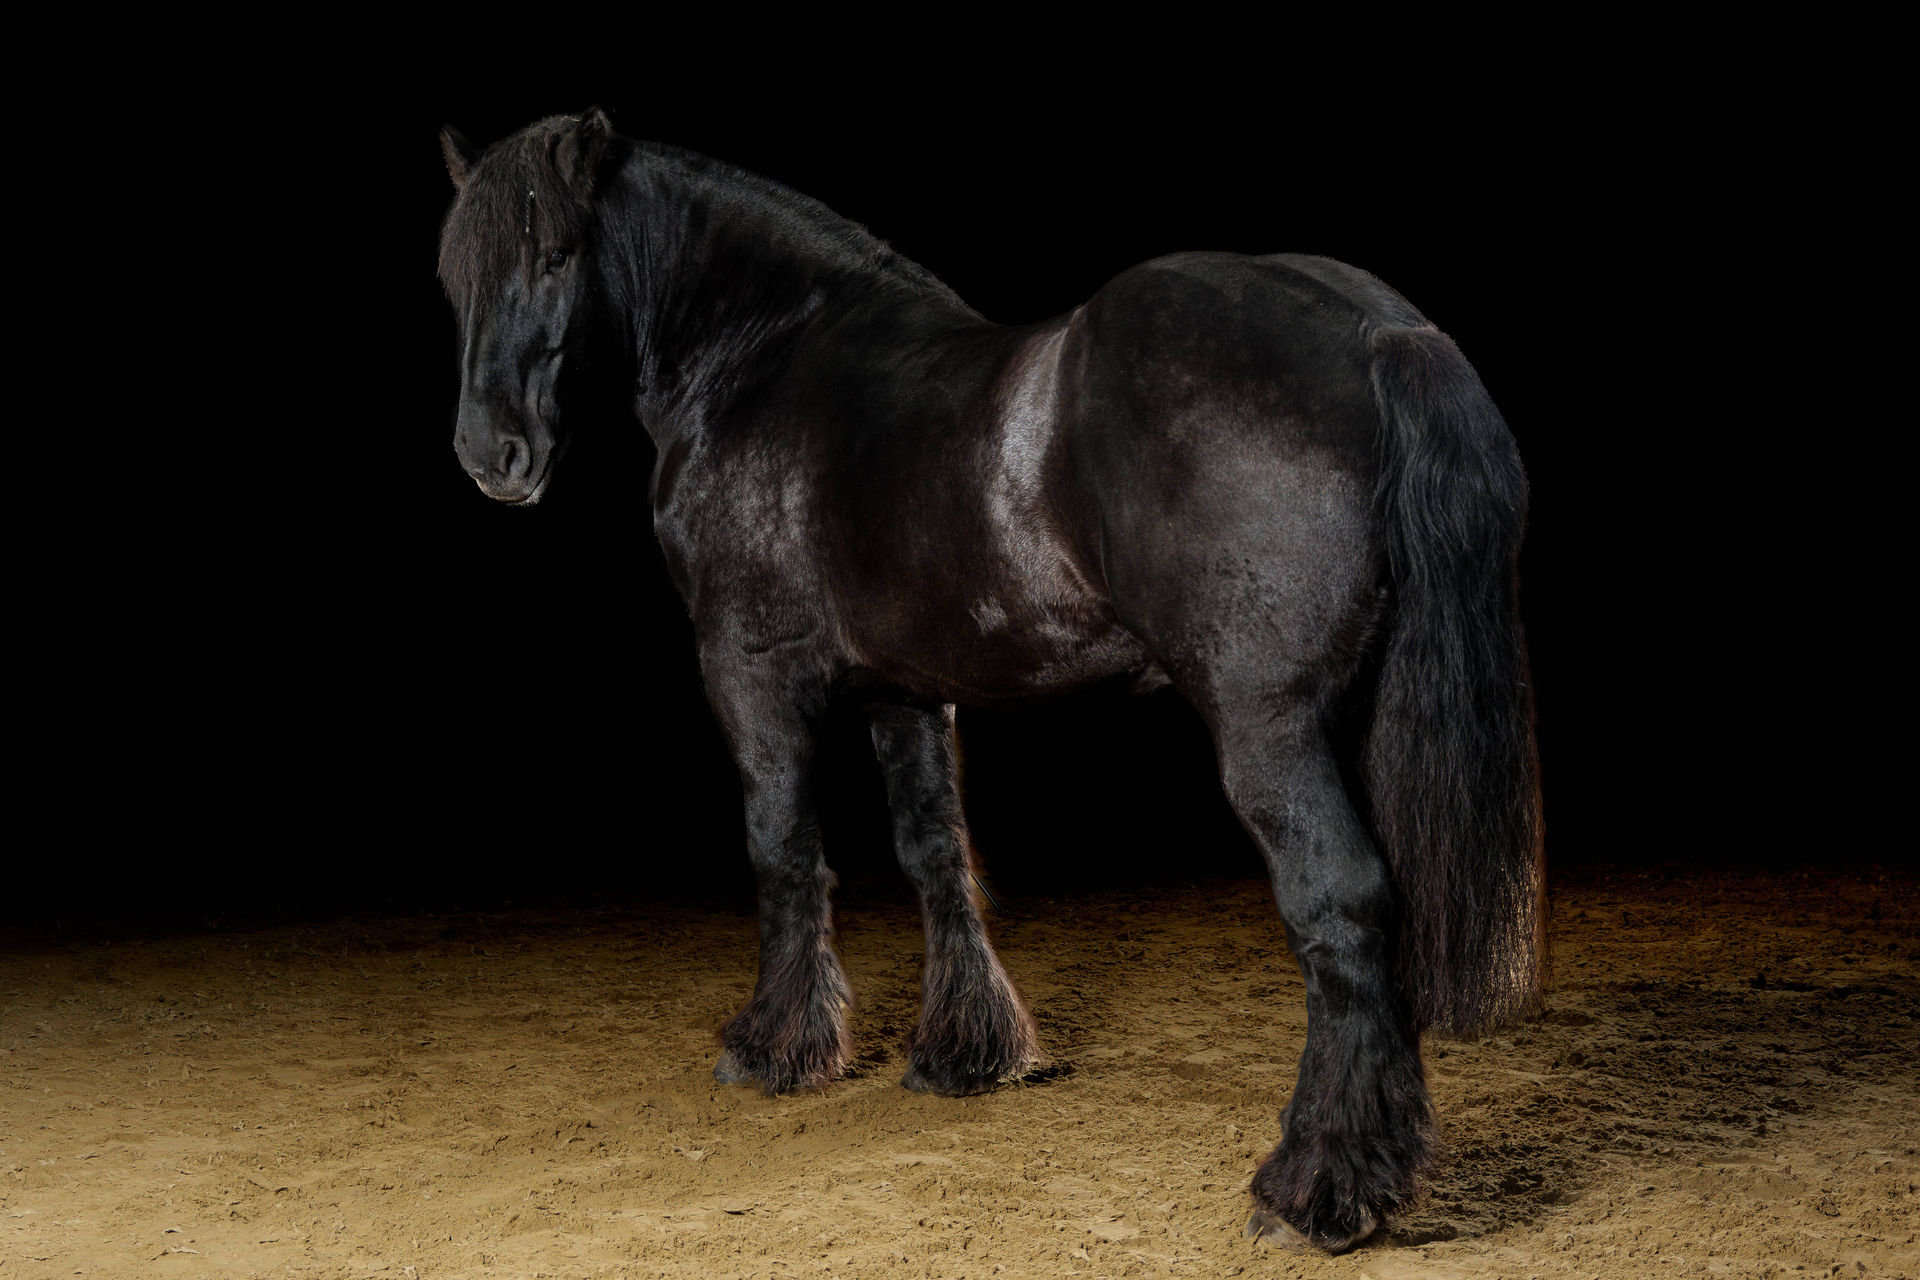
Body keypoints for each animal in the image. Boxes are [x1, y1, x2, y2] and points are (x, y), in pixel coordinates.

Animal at [435, 108, 1543, 1254]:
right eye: (452, 273)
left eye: (556, 253)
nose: (490, 453)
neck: (766, 356)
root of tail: (1381, 334)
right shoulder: (905, 688)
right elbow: (935, 855)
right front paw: (965, 1051)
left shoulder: (752, 674)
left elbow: (783, 852)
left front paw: (774, 1045)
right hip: (1361, 713)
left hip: (1270, 728)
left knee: (1343, 906)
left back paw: (1315, 1185)